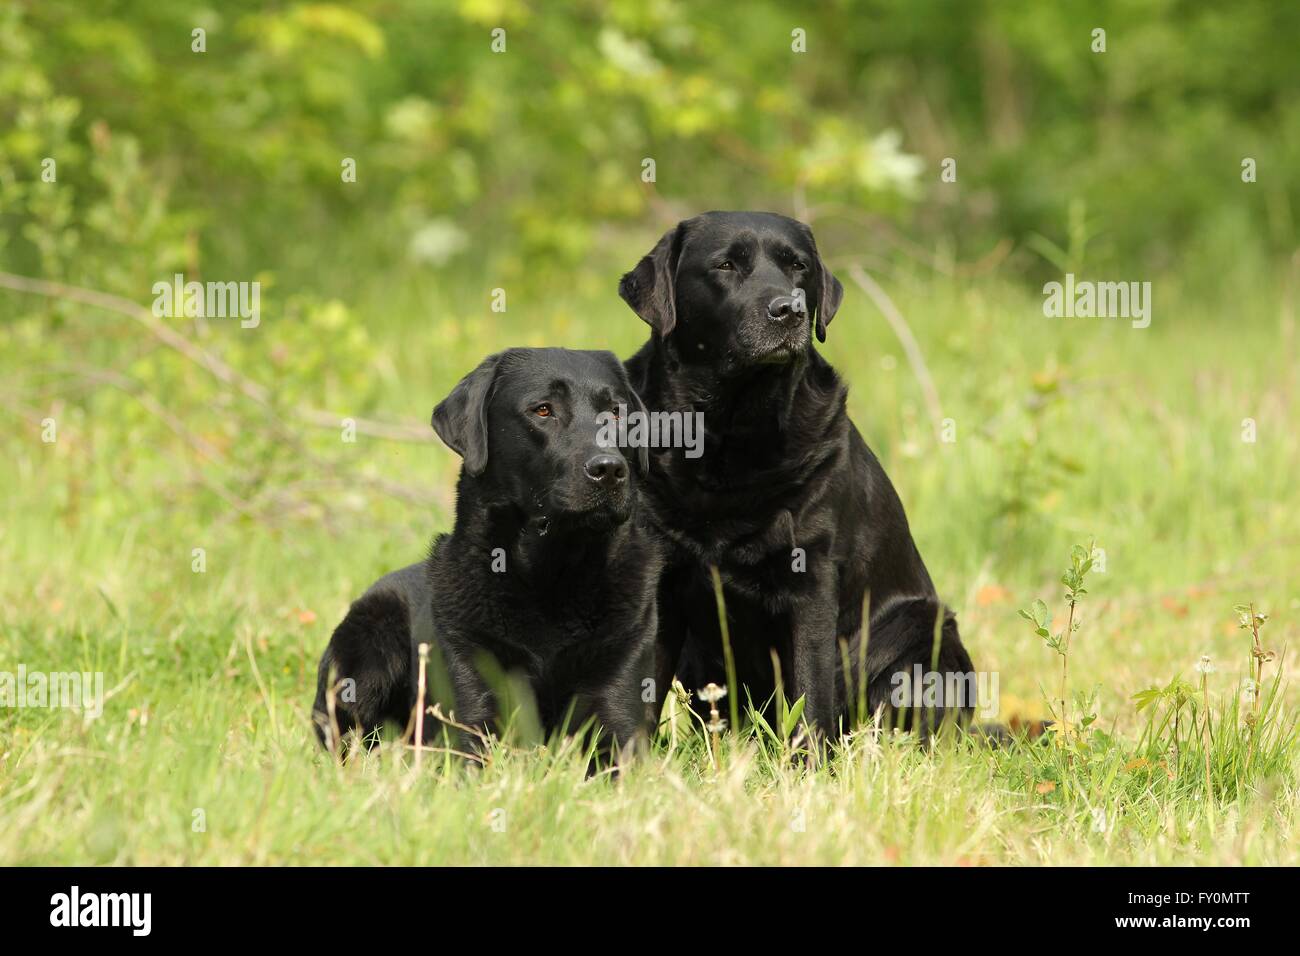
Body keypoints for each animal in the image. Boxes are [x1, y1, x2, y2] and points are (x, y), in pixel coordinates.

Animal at [312, 348, 660, 759]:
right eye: (543, 410)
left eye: (617, 412)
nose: (609, 468)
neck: (553, 577)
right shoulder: (471, 720)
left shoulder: (620, 719)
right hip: (367, 651)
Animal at [621, 210, 977, 738]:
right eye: (726, 265)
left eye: (799, 267)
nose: (788, 310)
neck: (729, 432)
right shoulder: (661, 582)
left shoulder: (811, 578)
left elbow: (810, 695)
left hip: (923, 632)